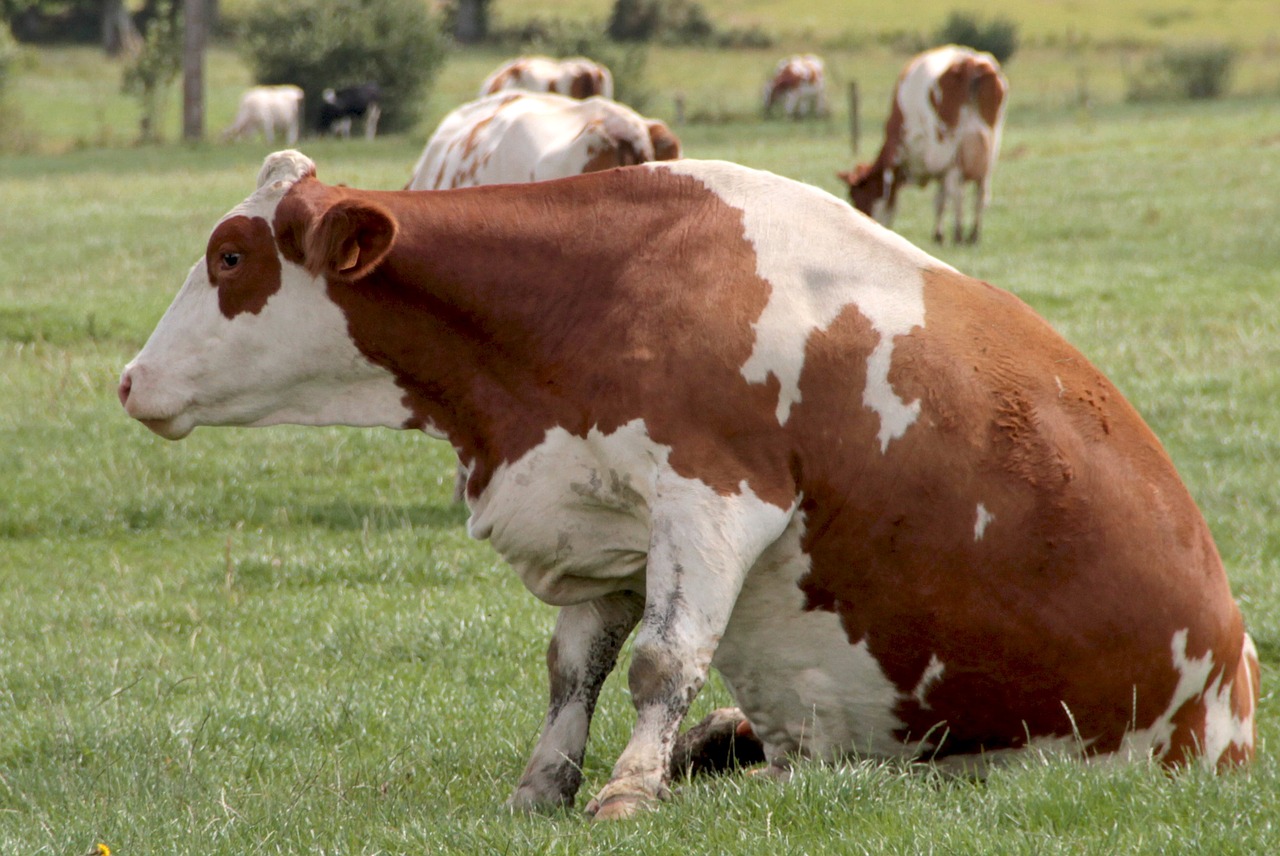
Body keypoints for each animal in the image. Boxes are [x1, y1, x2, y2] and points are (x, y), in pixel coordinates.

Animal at [120, 150, 1259, 818]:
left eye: (230, 258)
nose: (130, 380)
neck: (598, 281)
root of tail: (1235, 670)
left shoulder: (714, 502)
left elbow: (662, 661)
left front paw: (625, 790)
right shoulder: (606, 509)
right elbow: (572, 668)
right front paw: (543, 783)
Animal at [839, 44, 1008, 243]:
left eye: (855, 196)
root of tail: (969, 62)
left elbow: (938, 198)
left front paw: (939, 234)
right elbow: (941, 198)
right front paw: (939, 233)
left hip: (949, 149)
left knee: (958, 193)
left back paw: (958, 234)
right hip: (990, 145)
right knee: (980, 192)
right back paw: (973, 235)